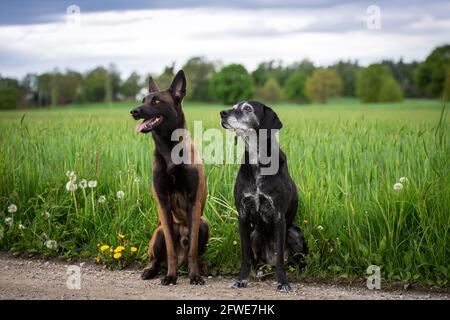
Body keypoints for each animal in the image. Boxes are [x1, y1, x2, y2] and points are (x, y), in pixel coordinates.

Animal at [129, 70, 208, 284]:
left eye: (156, 101)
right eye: (143, 100)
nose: (134, 111)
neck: (169, 148)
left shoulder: (194, 203)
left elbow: (193, 251)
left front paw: (195, 276)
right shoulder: (163, 204)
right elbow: (170, 250)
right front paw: (171, 276)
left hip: (204, 224)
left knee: (192, 254)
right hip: (159, 234)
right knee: (158, 259)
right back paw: (152, 271)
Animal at [220, 101, 308, 292]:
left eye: (247, 108)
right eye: (234, 106)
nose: (222, 113)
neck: (257, 159)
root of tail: (270, 262)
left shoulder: (279, 216)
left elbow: (281, 259)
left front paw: (283, 282)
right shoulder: (243, 216)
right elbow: (245, 256)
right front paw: (241, 279)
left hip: (294, 233)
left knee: (295, 259)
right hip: (255, 234)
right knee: (257, 260)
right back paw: (259, 271)